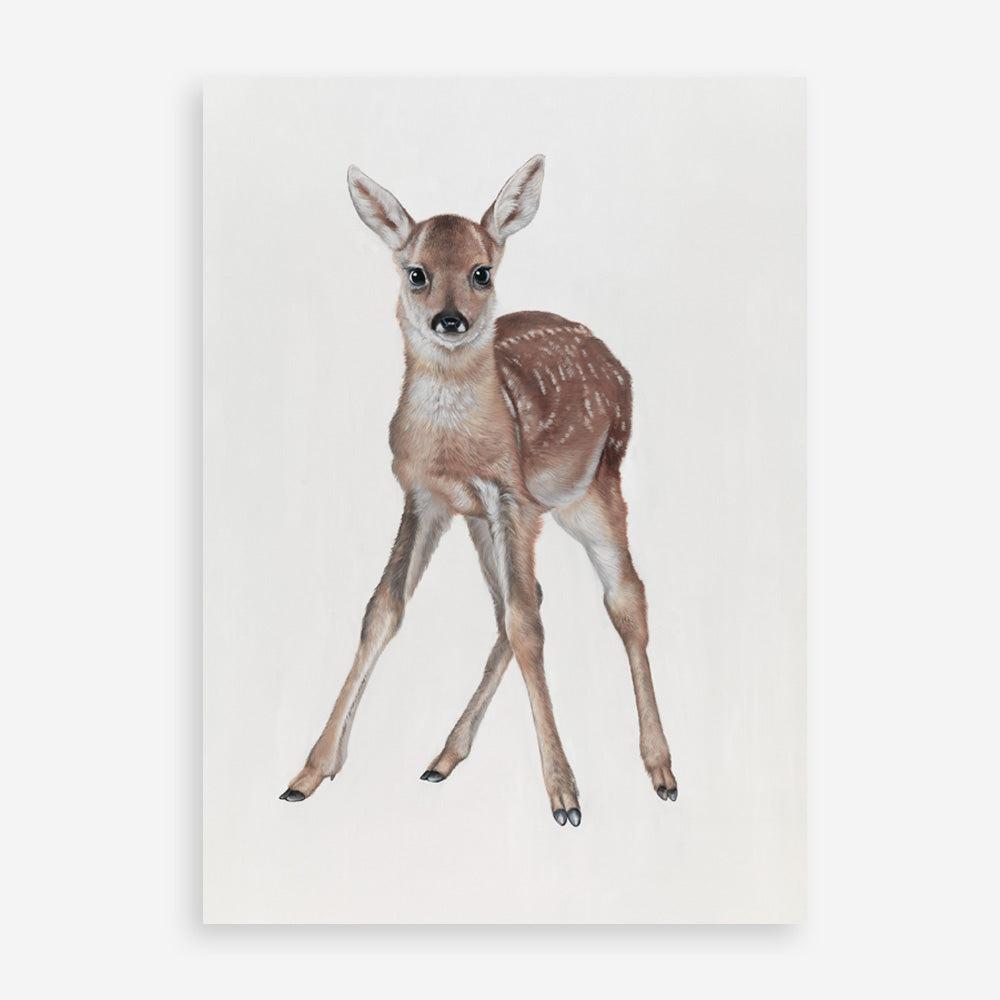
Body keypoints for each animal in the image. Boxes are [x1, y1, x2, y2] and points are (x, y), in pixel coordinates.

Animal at [279, 155, 677, 826]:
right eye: (416, 273)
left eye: (481, 272)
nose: (451, 320)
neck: (456, 444)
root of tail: (617, 365)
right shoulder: (426, 497)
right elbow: (383, 610)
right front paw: (309, 772)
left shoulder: (510, 496)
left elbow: (527, 626)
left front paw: (565, 796)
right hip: (486, 521)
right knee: (522, 601)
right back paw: (443, 758)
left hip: (594, 490)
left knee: (624, 598)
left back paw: (661, 770)